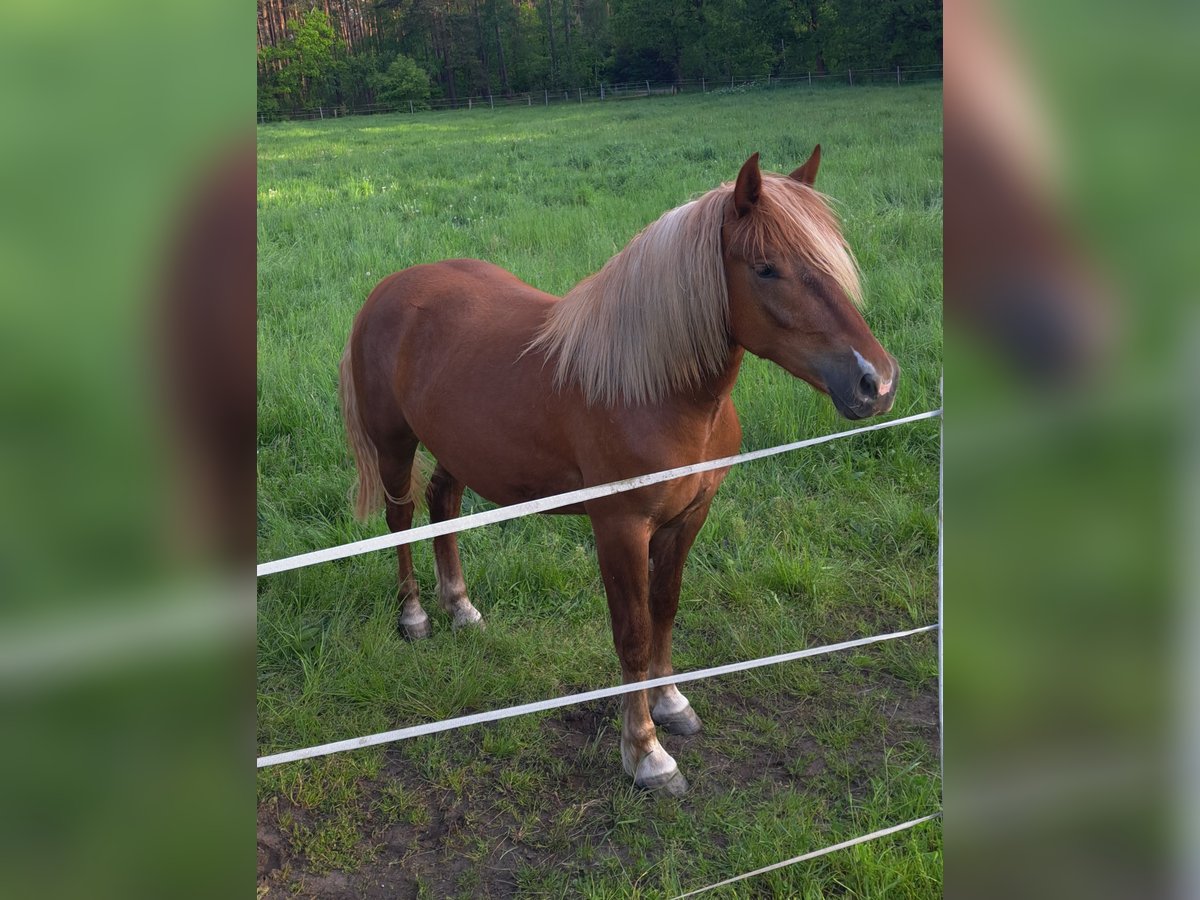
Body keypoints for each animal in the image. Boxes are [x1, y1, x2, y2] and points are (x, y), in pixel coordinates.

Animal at [339, 149, 898, 795]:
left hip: (458, 449)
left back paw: (461, 608)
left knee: (442, 507)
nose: (876, 382)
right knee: (402, 516)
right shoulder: (621, 529)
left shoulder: (689, 519)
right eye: (765, 269)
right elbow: (632, 634)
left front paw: (672, 704)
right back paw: (414, 616)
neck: (652, 387)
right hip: (394, 445)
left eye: (831, 257)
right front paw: (646, 753)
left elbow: (665, 610)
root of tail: (389, 288)